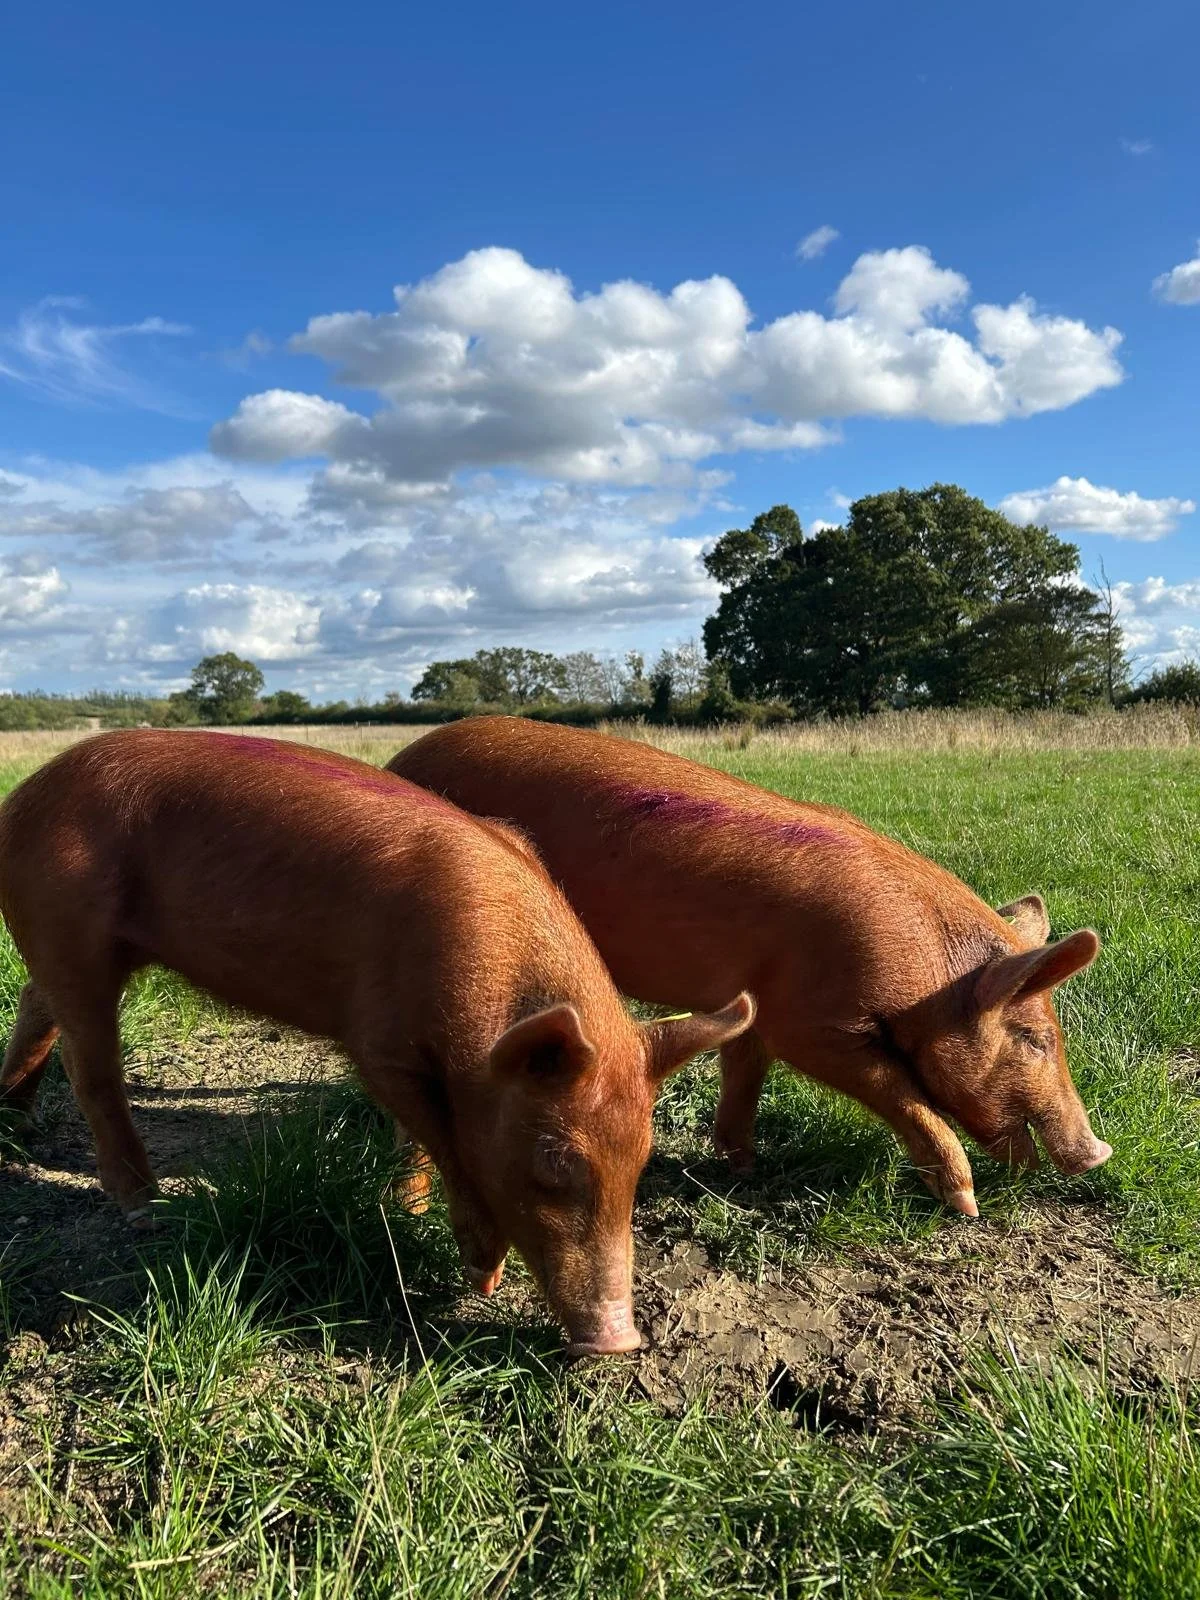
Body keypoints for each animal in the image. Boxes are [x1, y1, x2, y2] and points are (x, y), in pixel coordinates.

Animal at [0, 730, 754, 1354]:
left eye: (643, 1160)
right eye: (554, 1161)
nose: (619, 1341)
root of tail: (24, 796)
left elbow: (418, 1140)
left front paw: (405, 1205)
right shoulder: (379, 1041)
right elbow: (443, 1137)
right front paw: (479, 1273)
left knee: (37, 1004)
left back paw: (17, 1123)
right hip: (69, 924)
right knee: (90, 1063)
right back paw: (144, 1209)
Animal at [388, 717, 1111, 1216]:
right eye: (1035, 1039)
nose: (1098, 1153)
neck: (927, 981)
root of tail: (403, 756)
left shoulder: (757, 1000)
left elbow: (745, 1072)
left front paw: (742, 1168)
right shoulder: (812, 1022)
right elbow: (904, 1095)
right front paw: (966, 1206)